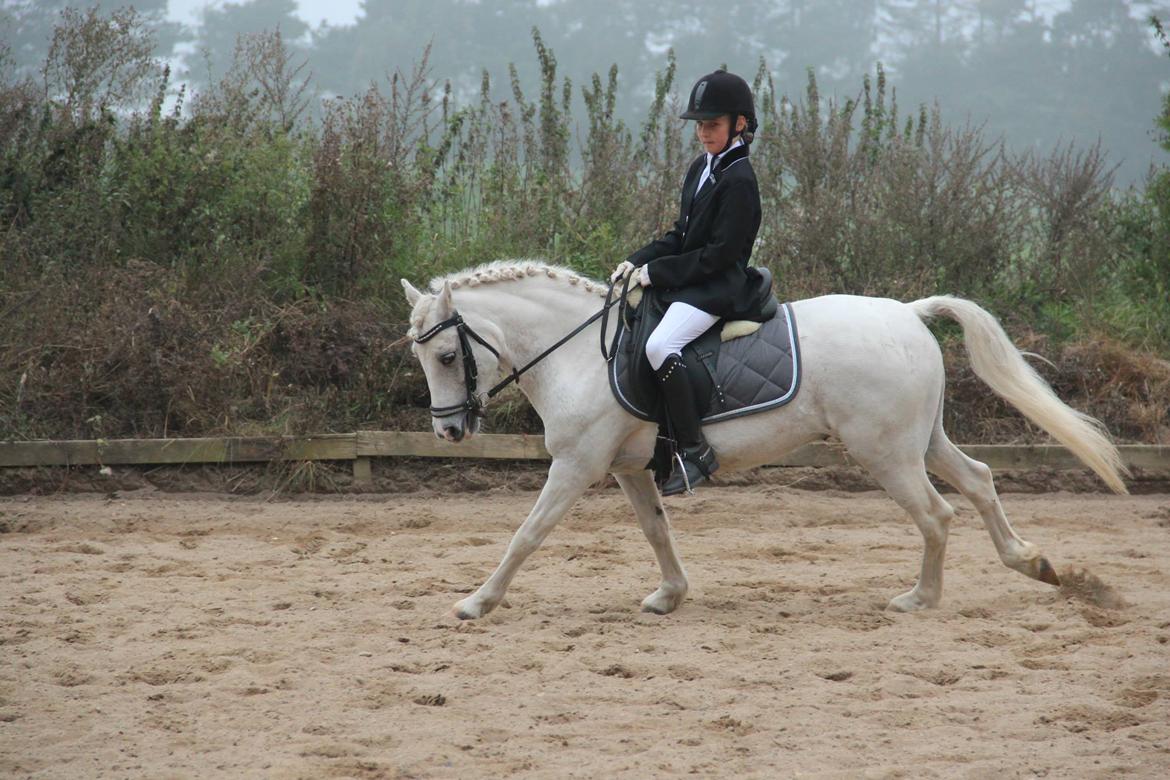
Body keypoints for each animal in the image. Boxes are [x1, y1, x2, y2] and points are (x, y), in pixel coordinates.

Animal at [400, 260, 1127, 620]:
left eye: (445, 356)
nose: (449, 431)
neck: (580, 350)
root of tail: (908, 313)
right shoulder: (628, 468)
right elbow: (656, 530)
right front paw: (670, 595)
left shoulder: (577, 465)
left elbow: (527, 533)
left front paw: (477, 602)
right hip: (921, 441)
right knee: (977, 480)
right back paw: (1033, 563)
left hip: (885, 452)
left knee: (937, 514)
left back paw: (921, 600)